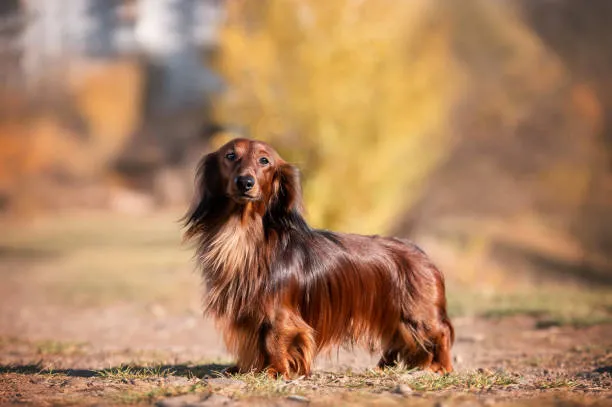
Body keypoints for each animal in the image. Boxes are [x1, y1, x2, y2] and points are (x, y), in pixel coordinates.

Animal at [184, 139, 452, 378]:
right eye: (230, 156)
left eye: (264, 161)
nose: (245, 182)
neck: (243, 234)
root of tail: (421, 253)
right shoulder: (248, 313)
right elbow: (253, 344)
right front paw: (245, 368)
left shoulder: (279, 313)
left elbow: (274, 340)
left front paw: (276, 371)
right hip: (394, 317)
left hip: (418, 315)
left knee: (441, 333)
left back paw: (441, 367)